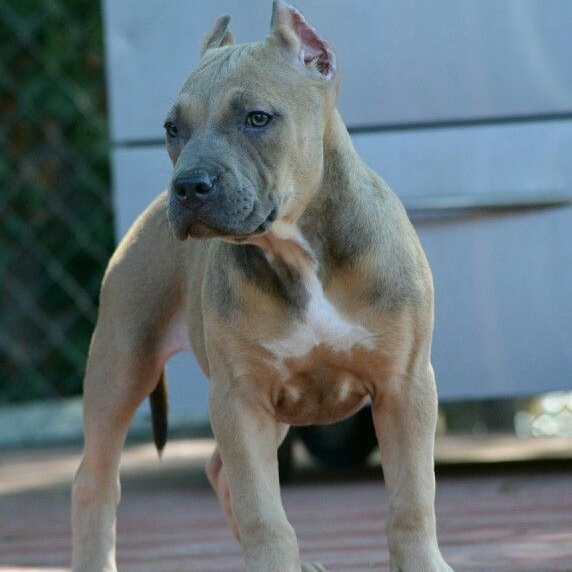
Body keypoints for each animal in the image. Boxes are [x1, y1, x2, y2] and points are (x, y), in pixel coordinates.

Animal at [72, 2, 456, 568]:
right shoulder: (239, 398)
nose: (187, 187)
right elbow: (264, 514)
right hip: (120, 363)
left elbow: (412, 500)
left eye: (257, 118)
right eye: (171, 127)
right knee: (96, 481)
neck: (297, 251)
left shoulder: (405, 386)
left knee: (216, 469)